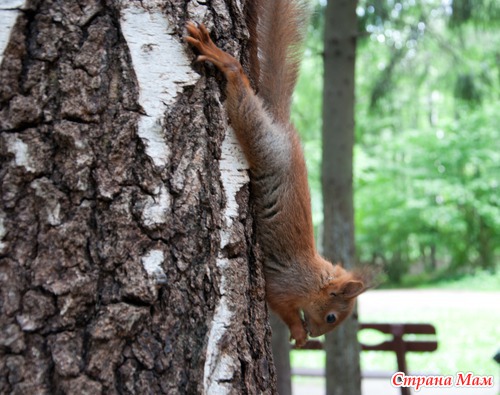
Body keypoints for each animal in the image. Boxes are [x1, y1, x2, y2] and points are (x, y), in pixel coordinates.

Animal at [186, 0, 370, 348]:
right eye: (331, 317)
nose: (316, 334)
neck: (312, 279)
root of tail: (282, 125)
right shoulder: (283, 287)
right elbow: (282, 307)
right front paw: (298, 333)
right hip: (262, 142)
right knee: (242, 97)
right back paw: (223, 59)